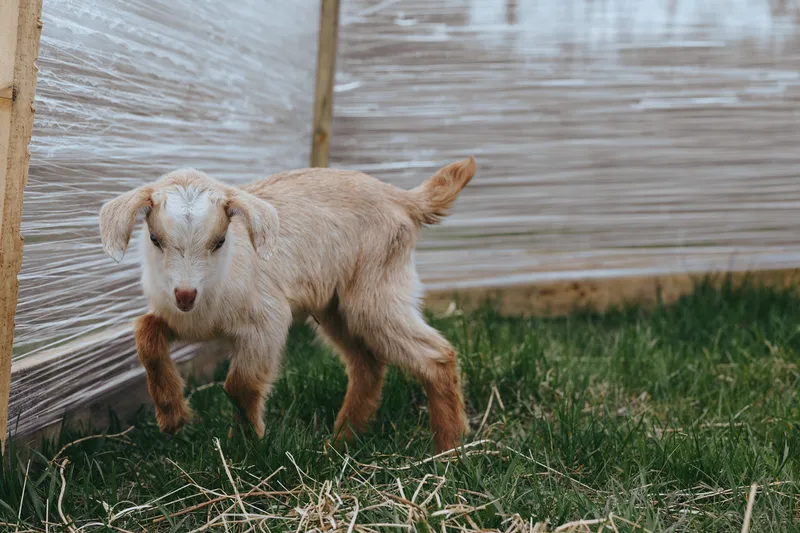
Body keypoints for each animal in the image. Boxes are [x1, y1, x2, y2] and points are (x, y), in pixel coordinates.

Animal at [98, 157, 476, 453]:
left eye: (219, 240)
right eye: (154, 239)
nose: (185, 294)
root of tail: (405, 199)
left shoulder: (266, 320)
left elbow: (240, 384)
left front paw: (246, 445)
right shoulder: (183, 319)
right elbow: (145, 332)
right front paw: (171, 415)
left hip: (375, 294)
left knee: (436, 356)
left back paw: (449, 448)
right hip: (335, 308)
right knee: (367, 366)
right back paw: (341, 440)